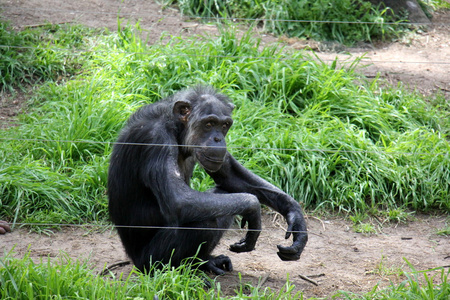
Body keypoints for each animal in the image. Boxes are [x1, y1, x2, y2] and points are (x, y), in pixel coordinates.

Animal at [107, 85, 308, 274]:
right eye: (209, 124)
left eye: (224, 125)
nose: (218, 138)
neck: (177, 130)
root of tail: (133, 260)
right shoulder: (155, 139)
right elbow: (178, 200)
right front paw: (253, 208)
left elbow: (232, 176)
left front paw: (296, 217)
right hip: (148, 261)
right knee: (202, 222)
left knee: (223, 194)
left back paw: (206, 262)